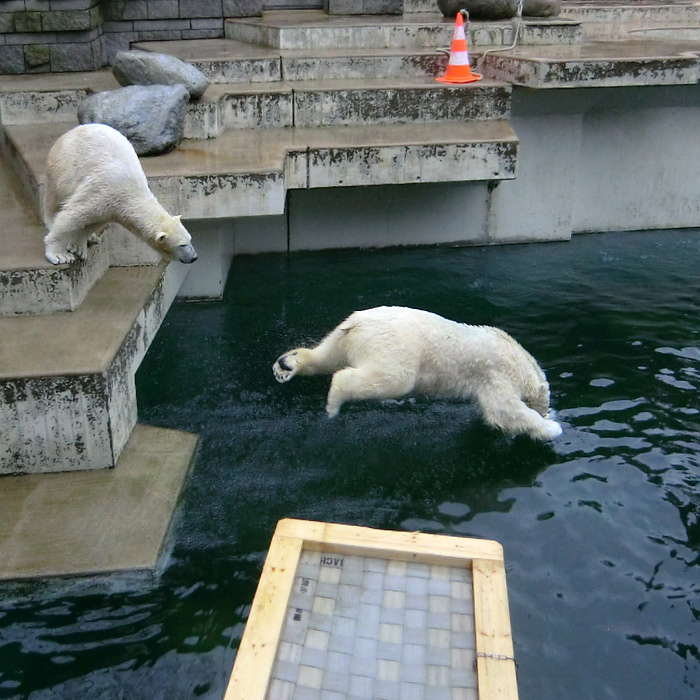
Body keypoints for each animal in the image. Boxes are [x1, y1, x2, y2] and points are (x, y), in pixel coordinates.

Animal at [42, 123, 197, 266]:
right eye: (182, 245)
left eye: (190, 238)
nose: (194, 257)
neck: (130, 195)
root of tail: (72, 131)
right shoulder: (102, 193)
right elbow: (71, 216)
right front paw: (59, 255)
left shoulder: (110, 210)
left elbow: (93, 222)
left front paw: (78, 246)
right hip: (65, 164)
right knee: (55, 197)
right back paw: (50, 221)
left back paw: (92, 238)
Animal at [274, 304, 564, 440]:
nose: (547, 412)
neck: (519, 359)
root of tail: (357, 322)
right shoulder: (496, 374)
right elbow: (505, 411)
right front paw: (552, 428)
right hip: (395, 349)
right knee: (387, 379)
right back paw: (333, 406)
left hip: (344, 336)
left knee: (326, 356)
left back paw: (286, 365)